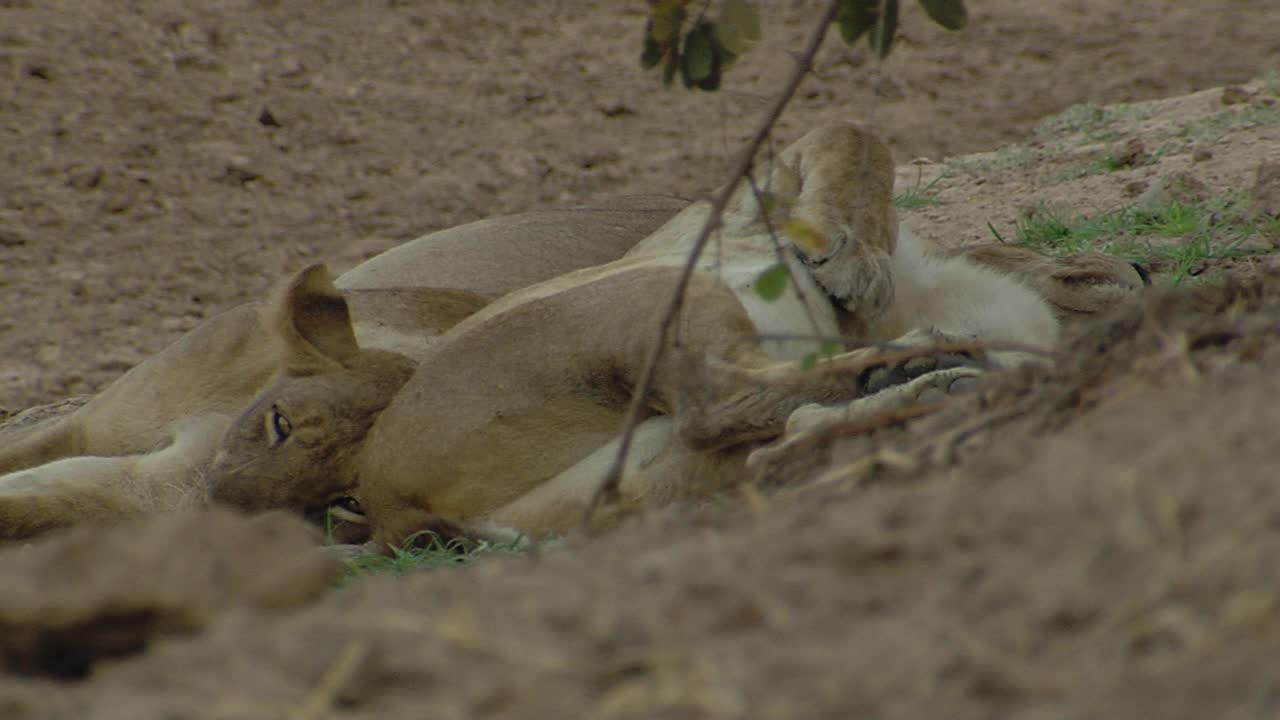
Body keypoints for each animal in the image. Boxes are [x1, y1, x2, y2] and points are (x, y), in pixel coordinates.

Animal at [202, 124, 1152, 548]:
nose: (1141, 269)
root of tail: (386, 497)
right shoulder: (740, 204)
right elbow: (852, 138)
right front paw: (852, 264)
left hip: (649, 473)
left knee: (776, 438)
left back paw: (927, 381)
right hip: (658, 295)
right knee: (722, 402)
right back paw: (928, 365)